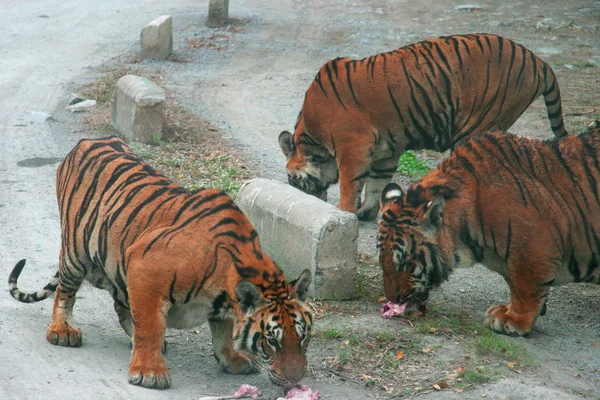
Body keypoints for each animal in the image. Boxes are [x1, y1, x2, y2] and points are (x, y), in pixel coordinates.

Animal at [8, 136, 314, 390]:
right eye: (271, 341)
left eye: (302, 337)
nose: (296, 379)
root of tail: (86, 141)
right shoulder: (145, 269)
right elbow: (150, 327)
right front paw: (149, 372)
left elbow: (223, 331)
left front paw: (231, 359)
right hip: (76, 252)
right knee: (66, 292)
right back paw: (62, 331)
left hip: (116, 264)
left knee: (120, 304)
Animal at [278, 33, 568, 222]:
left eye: (292, 179)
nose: (300, 198)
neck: (311, 138)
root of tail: (538, 60)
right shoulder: (385, 152)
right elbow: (375, 184)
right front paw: (366, 213)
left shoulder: (354, 148)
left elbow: (351, 187)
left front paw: (345, 213)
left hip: (476, 125)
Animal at [378, 120, 600, 336]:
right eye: (383, 261)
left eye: (405, 264)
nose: (393, 299)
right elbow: (515, 284)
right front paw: (505, 310)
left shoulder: (534, 247)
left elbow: (525, 287)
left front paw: (514, 320)